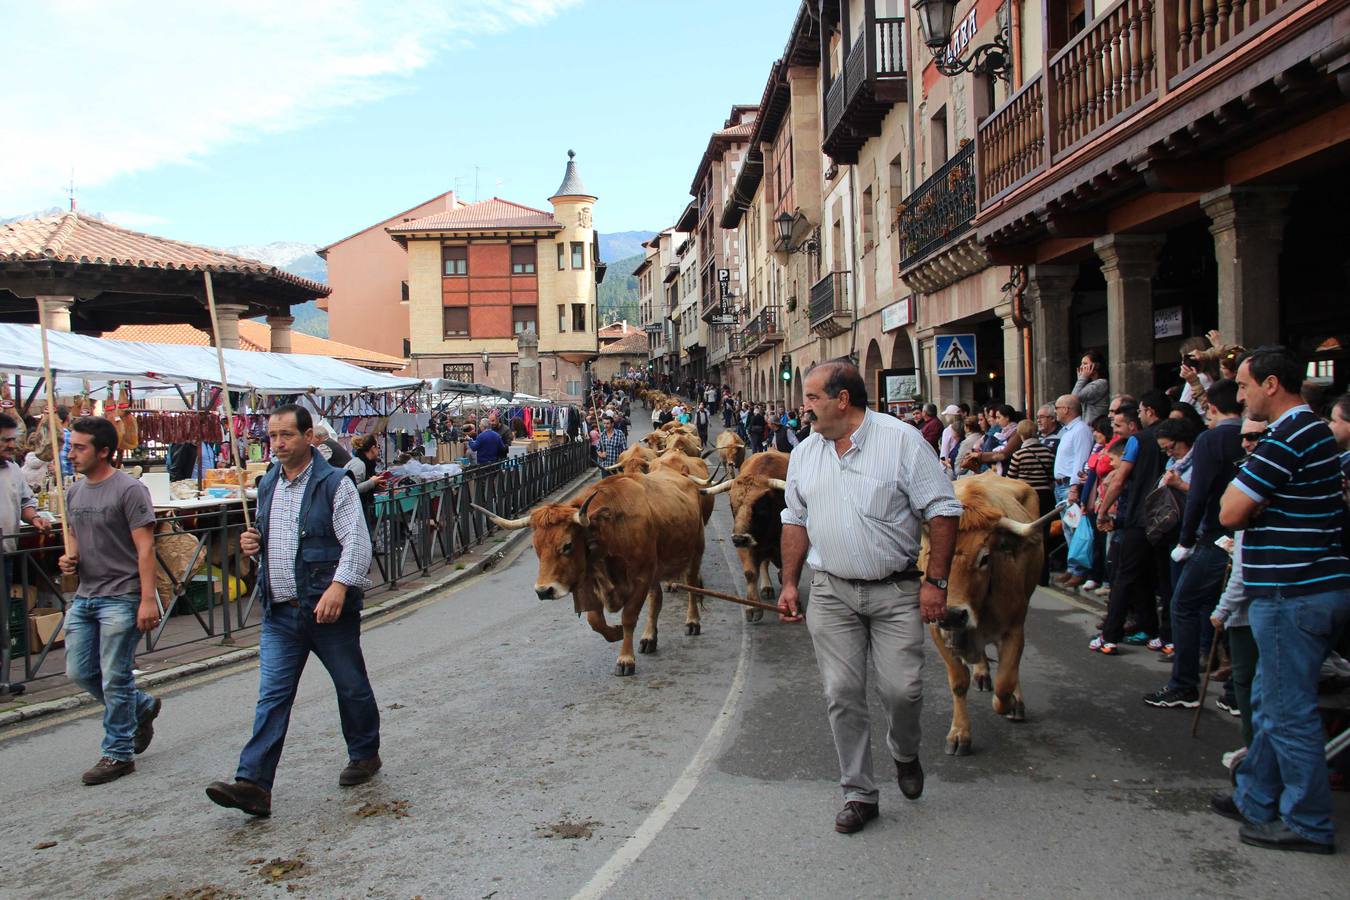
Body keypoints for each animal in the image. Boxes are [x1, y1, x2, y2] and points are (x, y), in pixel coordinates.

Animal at [475, 472, 707, 674]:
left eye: (567, 545)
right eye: (536, 548)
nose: (543, 591)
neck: (610, 531)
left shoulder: (641, 579)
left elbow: (629, 617)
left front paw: (625, 659)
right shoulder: (594, 583)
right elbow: (595, 621)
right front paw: (615, 633)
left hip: (695, 552)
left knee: (692, 588)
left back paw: (692, 621)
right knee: (656, 598)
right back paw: (649, 637)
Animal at [696, 453, 788, 623]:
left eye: (761, 507)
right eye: (732, 505)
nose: (739, 539)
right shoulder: (746, 544)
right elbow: (750, 573)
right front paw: (752, 607)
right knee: (764, 563)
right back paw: (767, 586)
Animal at [918, 474, 1063, 755]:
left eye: (985, 558)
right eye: (930, 554)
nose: (952, 614)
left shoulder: (1014, 628)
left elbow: (1006, 680)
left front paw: (1010, 703)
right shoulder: (937, 629)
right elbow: (958, 681)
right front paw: (959, 733)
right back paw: (982, 672)